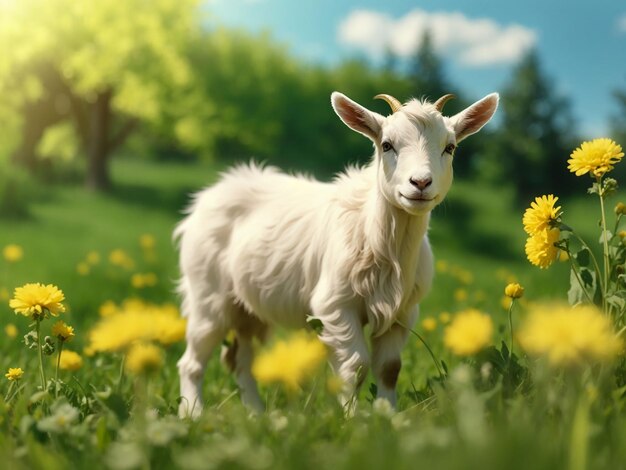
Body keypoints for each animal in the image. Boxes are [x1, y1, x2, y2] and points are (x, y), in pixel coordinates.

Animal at [176, 90, 498, 416]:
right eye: (386, 145)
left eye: (450, 147)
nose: (420, 183)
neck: (381, 240)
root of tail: (212, 193)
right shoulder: (335, 305)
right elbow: (355, 366)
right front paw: (351, 419)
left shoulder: (403, 311)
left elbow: (389, 368)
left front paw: (388, 417)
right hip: (207, 293)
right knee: (192, 362)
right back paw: (193, 414)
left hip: (249, 307)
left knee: (242, 360)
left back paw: (256, 415)